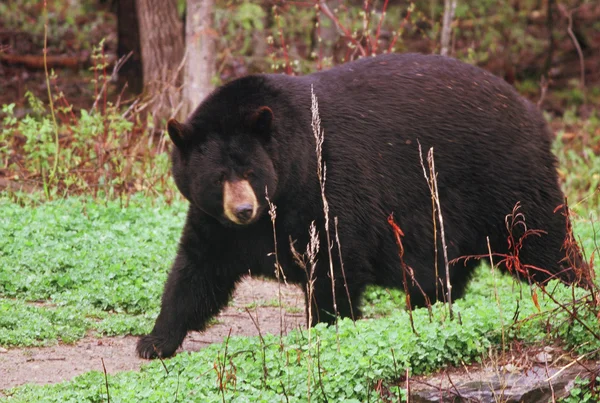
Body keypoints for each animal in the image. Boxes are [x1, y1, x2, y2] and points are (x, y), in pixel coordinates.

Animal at [135, 52, 584, 360]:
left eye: (249, 170)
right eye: (218, 178)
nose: (244, 209)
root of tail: (531, 111)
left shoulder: (327, 189)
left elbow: (336, 262)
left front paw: (322, 327)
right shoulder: (216, 224)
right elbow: (195, 272)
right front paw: (154, 340)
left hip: (504, 180)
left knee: (541, 241)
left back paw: (576, 289)